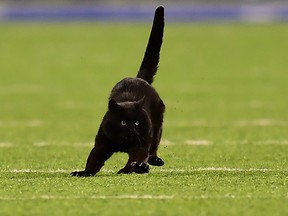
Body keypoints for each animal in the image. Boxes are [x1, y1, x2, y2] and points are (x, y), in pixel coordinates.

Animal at [71, 6, 165, 177]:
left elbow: (135, 158)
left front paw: (127, 170)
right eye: (123, 122)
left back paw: (151, 162)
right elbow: (93, 160)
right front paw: (84, 172)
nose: (132, 129)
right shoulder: (102, 144)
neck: (124, 143)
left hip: (157, 125)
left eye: (137, 122)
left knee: (153, 147)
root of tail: (139, 78)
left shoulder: (140, 144)